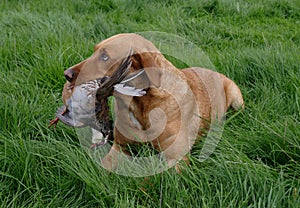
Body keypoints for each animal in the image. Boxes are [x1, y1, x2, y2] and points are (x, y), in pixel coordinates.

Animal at [56, 33, 244, 171]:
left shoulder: (176, 159)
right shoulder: (119, 148)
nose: (67, 74)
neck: (141, 105)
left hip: (237, 100)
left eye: (104, 57)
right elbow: (104, 167)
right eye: (95, 51)